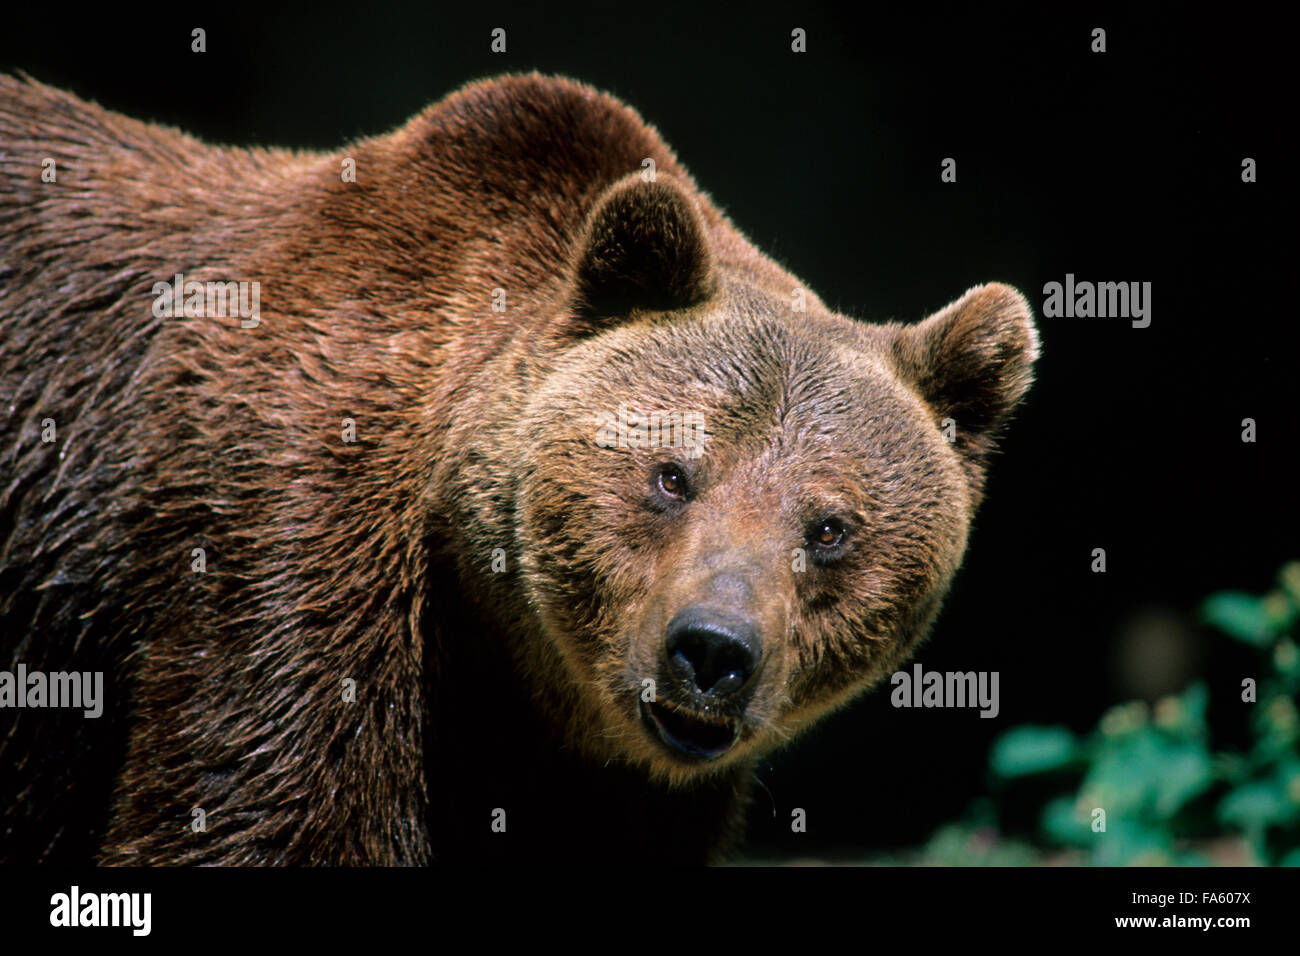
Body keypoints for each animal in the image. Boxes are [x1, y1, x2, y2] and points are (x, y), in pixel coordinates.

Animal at [0, 72, 1034, 868]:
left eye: (828, 527)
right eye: (673, 475)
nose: (712, 651)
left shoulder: (616, 788)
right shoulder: (288, 547)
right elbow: (263, 813)